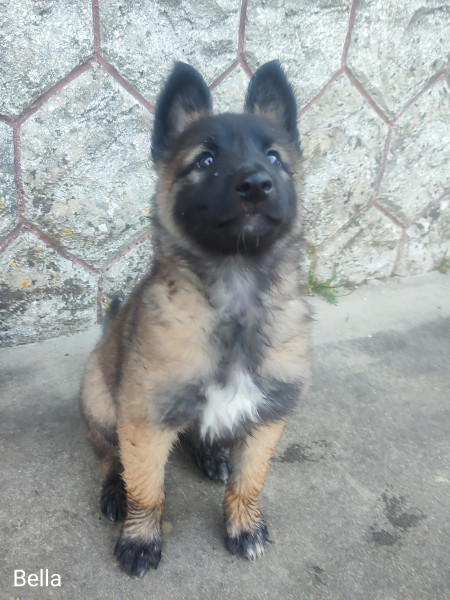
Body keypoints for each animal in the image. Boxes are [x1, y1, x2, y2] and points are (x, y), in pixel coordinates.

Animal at [79, 60, 311, 577]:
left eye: (273, 157)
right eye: (205, 161)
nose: (256, 184)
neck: (235, 287)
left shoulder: (267, 416)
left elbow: (249, 481)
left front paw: (244, 526)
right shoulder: (143, 422)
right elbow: (146, 487)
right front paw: (140, 540)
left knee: (200, 435)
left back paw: (210, 457)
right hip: (102, 404)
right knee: (110, 459)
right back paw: (114, 492)